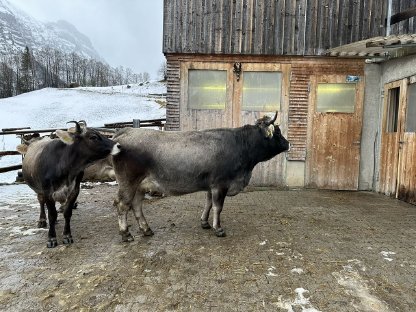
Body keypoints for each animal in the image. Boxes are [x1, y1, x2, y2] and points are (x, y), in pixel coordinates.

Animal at [112, 112, 290, 241]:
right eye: (278, 132)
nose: (288, 143)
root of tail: (127, 130)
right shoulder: (221, 184)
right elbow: (218, 207)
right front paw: (218, 228)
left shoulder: (211, 185)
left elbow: (208, 203)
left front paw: (205, 222)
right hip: (128, 182)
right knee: (122, 205)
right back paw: (126, 234)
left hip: (140, 185)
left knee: (136, 205)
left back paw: (146, 229)